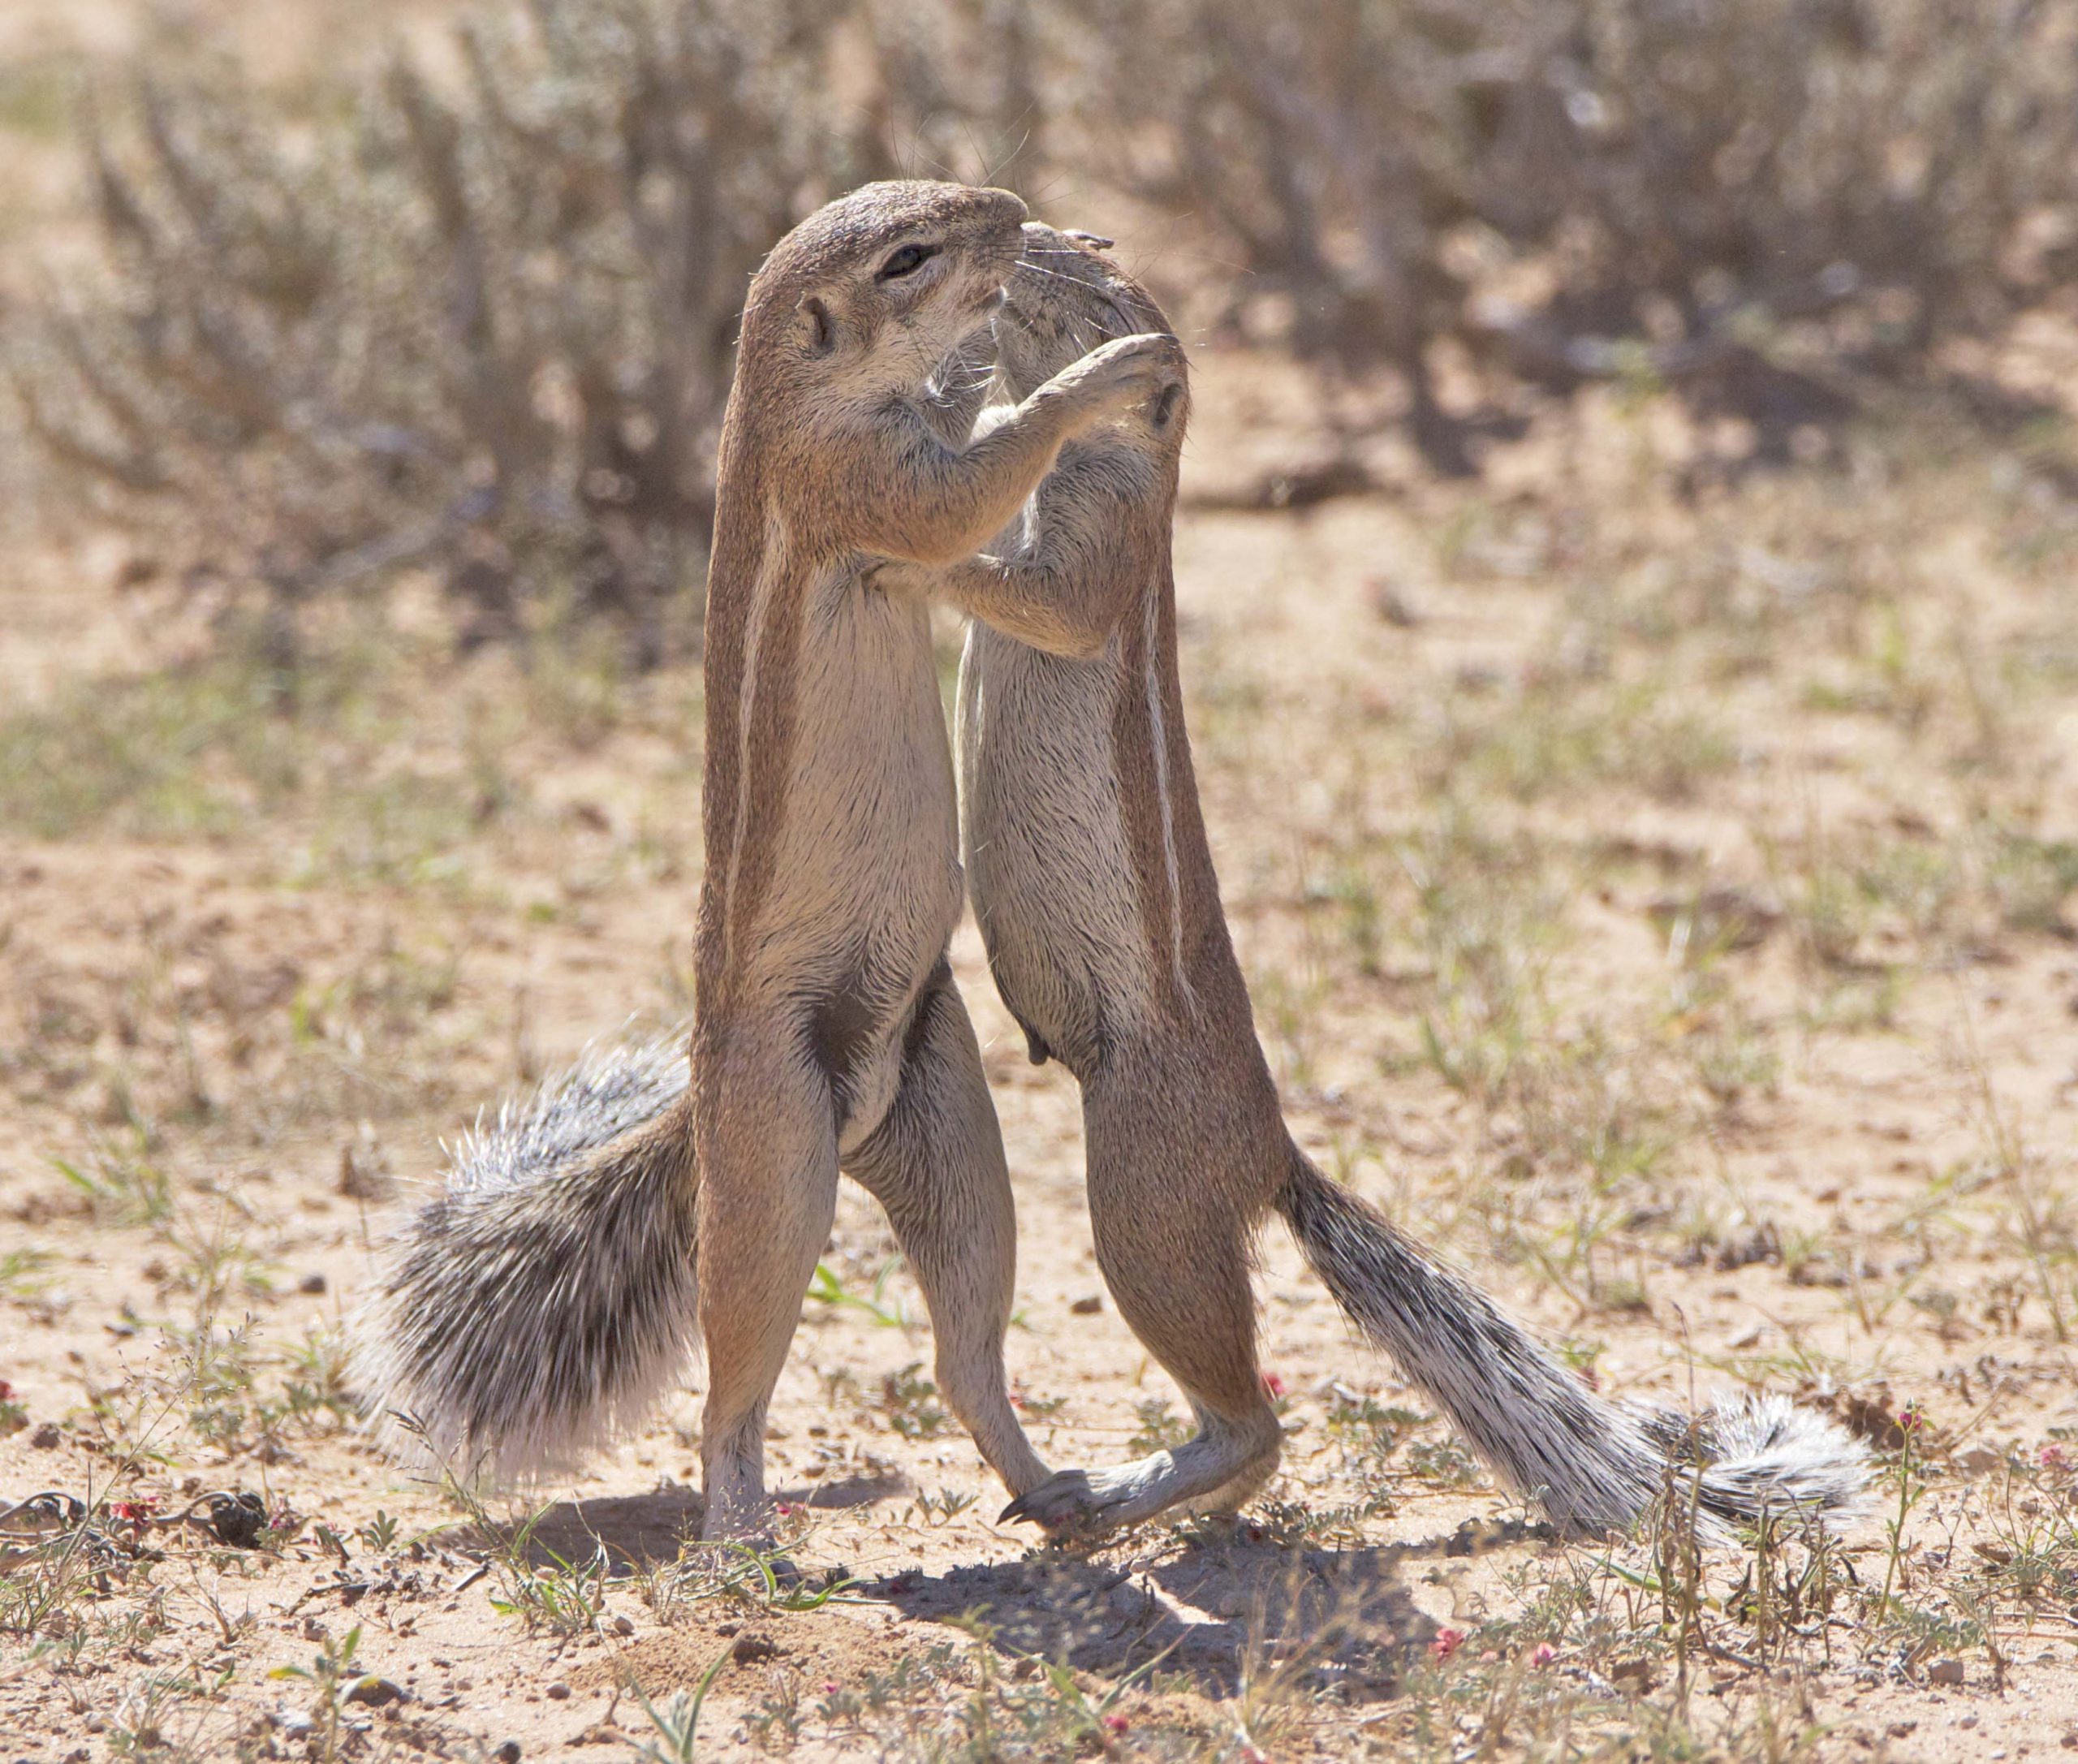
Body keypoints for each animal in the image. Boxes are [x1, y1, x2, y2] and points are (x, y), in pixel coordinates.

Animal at [355, 181, 1182, 1540]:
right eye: (910, 256)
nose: (1014, 210)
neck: (791, 393)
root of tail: (712, 1099)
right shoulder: (859, 481)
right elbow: (972, 484)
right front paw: (1094, 378)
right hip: (774, 1158)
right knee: (731, 1380)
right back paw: (743, 1532)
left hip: (949, 1120)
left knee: (964, 1350)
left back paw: (1051, 1488)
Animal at [869, 223, 1868, 1541]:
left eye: (1101, 271)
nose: (1029, 233)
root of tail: (1272, 1155)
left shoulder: (1106, 539)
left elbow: (1044, 595)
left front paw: (910, 560)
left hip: (1140, 1187)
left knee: (1251, 1414)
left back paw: (1129, 1491)